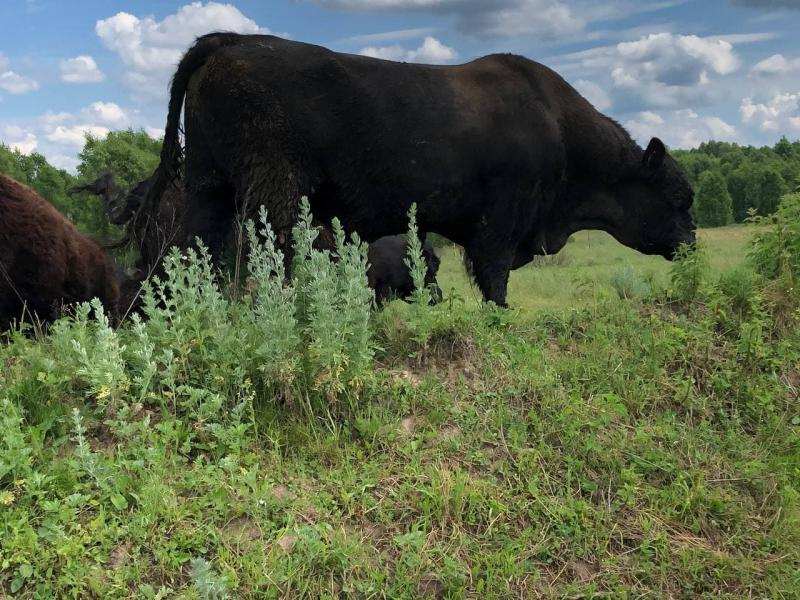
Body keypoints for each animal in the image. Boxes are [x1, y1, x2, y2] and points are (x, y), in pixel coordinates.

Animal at [145, 31, 692, 304]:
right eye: (677, 196)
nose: (690, 243)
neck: (556, 123)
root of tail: (231, 43)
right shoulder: (499, 226)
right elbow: (494, 280)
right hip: (272, 195)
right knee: (262, 255)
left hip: (209, 188)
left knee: (191, 252)